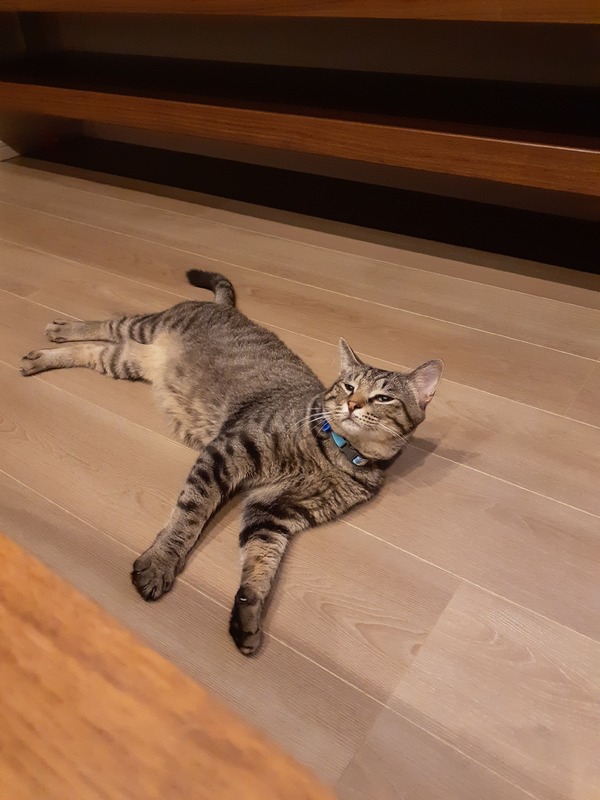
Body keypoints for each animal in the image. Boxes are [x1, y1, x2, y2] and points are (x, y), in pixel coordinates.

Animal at [21, 270, 443, 656]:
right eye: (348, 387)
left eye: (383, 398)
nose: (352, 405)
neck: (336, 455)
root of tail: (226, 307)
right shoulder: (227, 451)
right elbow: (188, 518)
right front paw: (160, 563)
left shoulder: (275, 510)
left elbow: (262, 564)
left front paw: (248, 615)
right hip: (145, 327)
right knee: (107, 324)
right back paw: (58, 330)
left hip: (125, 359)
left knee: (95, 349)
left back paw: (41, 357)